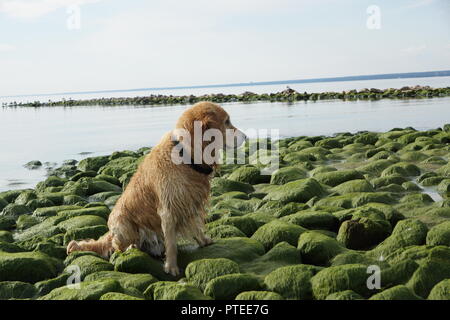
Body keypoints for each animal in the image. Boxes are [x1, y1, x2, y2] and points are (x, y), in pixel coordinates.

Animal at [67, 102, 246, 276]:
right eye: (226, 122)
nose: (246, 136)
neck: (185, 155)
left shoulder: (190, 200)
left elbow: (196, 226)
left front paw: (203, 241)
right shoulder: (168, 209)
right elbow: (172, 244)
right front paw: (172, 267)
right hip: (124, 224)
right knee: (116, 246)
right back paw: (132, 247)